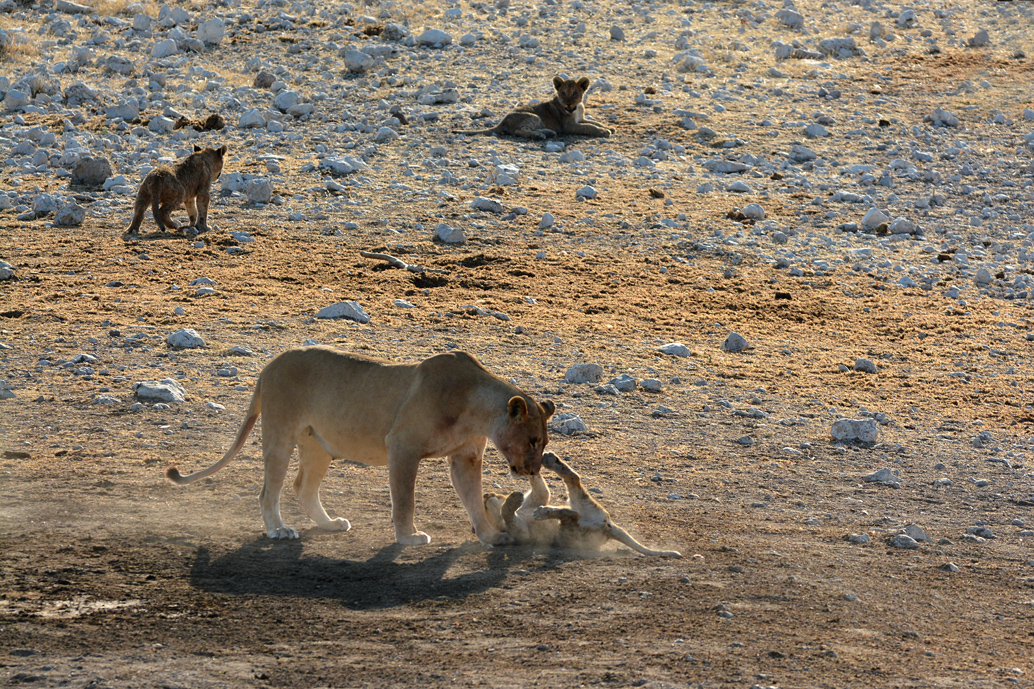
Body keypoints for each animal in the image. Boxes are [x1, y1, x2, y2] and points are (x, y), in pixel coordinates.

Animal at [164, 347, 555, 547]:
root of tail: (268, 365)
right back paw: (278, 530)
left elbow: (472, 499)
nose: (534, 469)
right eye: (533, 440)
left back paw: (329, 524)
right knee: (268, 492)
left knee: (303, 487)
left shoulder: (466, 457)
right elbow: (404, 500)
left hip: (318, 446)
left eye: (544, 442)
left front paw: (489, 535)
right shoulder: (402, 446)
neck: (477, 410)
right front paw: (409, 538)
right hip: (279, 433)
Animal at [455, 76, 613, 140]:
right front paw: (604, 131)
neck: (576, 108)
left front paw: (608, 127)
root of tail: (502, 121)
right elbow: (589, 127)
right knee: (519, 131)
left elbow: (594, 122)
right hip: (533, 116)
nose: (568, 104)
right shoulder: (569, 126)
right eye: (563, 93)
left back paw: (548, 133)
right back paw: (539, 136)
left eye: (575, 93)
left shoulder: (580, 119)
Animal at [485, 453, 682, 557]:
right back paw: (544, 511)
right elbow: (507, 513)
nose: (487, 494)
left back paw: (550, 461)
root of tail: (607, 526)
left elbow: (540, 488)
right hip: (570, 532)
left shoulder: (538, 497)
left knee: (573, 483)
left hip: (582, 502)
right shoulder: (521, 534)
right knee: (572, 512)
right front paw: (512, 500)